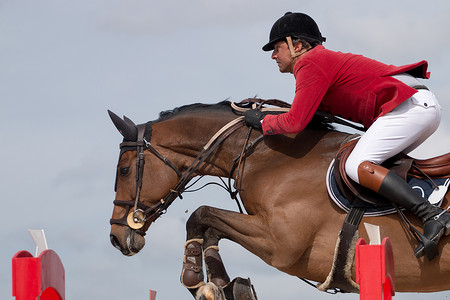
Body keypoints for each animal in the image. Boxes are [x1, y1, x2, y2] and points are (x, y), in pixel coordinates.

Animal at [109, 100, 450, 298]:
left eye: (124, 170)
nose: (115, 237)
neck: (265, 158)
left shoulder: (280, 244)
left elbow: (202, 214)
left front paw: (195, 278)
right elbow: (210, 227)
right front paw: (221, 284)